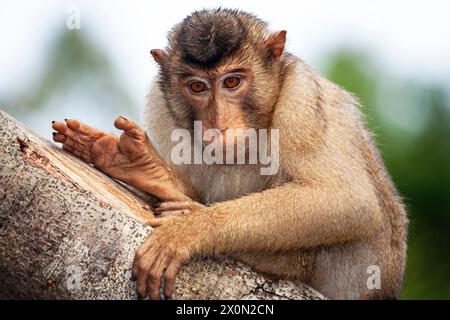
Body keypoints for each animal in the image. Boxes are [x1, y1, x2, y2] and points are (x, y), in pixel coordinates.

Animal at [50, 10, 408, 300]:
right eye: (197, 87)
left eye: (232, 82)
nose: (219, 125)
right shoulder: (160, 105)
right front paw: (150, 170)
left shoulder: (303, 97)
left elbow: (348, 200)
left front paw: (192, 228)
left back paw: (286, 261)